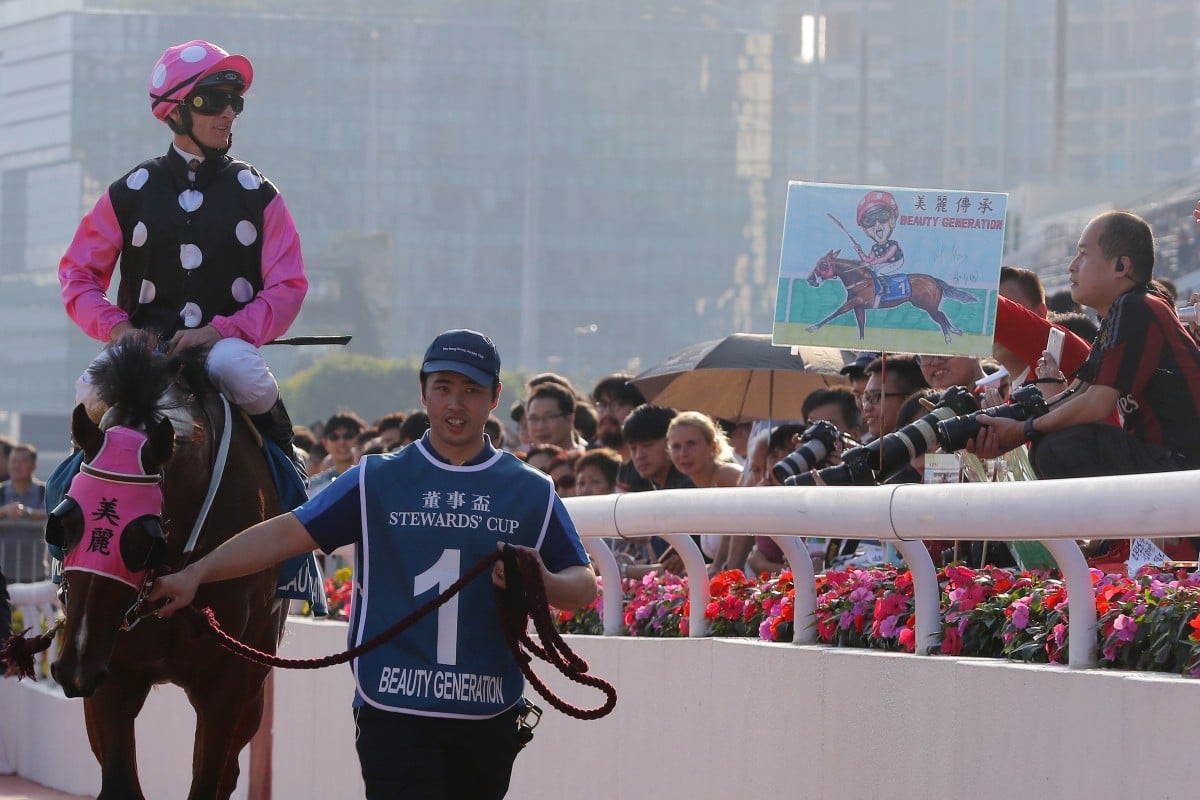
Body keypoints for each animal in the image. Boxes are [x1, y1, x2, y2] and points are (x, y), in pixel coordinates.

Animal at [46, 328, 285, 796]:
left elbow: (209, 780)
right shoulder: (113, 672)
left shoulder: (228, 678)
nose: (73, 665)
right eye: (63, 525)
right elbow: (120, 782)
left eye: (143, 539)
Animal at [801, 250, 979, 345]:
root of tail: (935, 280)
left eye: (823, 265)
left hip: (927, 306)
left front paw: (812, 327)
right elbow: (861, 324)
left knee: (940, 317)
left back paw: (949, 336)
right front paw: (862, 342)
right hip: (928, 306)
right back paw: (954, 331)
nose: (810, 280)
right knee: (941, 315)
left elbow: (834, 313)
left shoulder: (854, 302)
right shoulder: (859, 306)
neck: (860, 280)